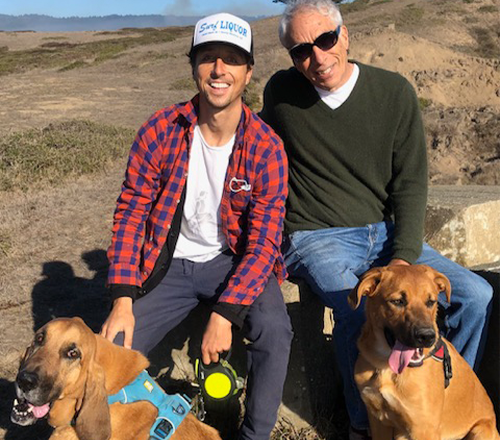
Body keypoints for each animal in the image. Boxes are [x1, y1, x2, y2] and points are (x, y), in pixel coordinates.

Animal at [350, 264, 498, 440]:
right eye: (397, 301)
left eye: (431, 302)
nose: (427, 336)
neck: (385, 366)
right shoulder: (378, 420)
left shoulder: (423, 428)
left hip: (480, 430)